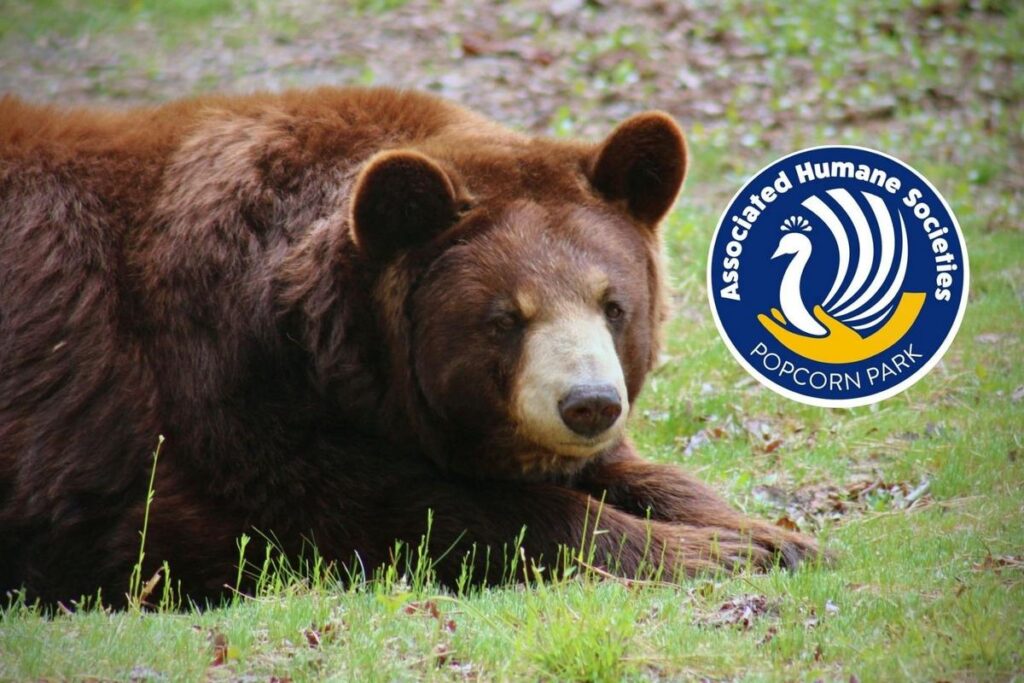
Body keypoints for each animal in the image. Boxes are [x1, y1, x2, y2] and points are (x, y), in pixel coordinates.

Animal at [0, 88, 820, 606]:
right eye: (504, 317)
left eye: (613, 304)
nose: (588, 403)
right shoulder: (219, 408)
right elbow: (416, 512)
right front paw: (712, 553)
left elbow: (639, 473)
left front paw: (773, 537)